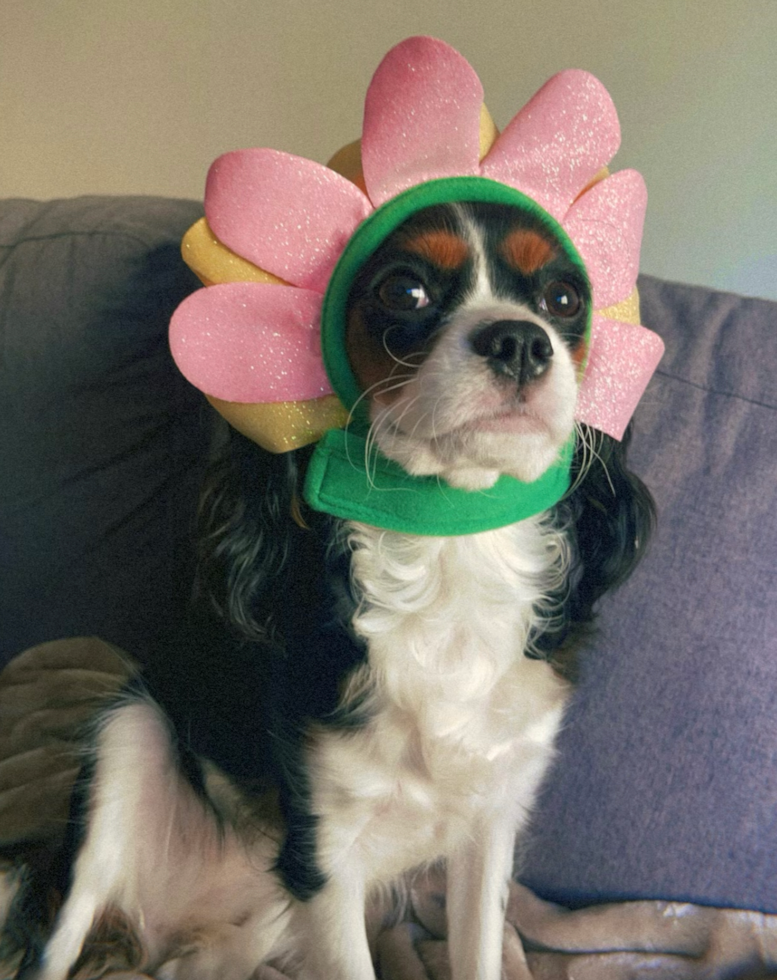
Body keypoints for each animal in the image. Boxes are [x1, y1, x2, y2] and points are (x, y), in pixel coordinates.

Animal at [3, 195, 652, 976]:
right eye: (404, 290)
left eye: (563, 300)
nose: (521, 341)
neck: (447, 549)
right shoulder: (325, 852)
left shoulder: (490, 820)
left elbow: (479, 950)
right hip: (126, 739)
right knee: (59, 936)